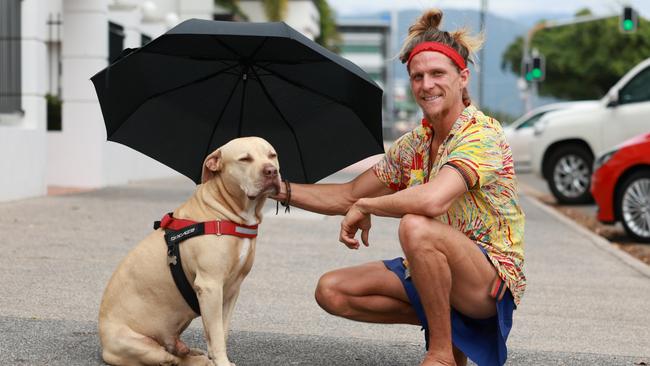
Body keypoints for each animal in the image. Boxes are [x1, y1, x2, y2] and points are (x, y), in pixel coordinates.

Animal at [97, 136, 280, 364]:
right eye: (245, 159)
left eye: (272, 155)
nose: (272, 171)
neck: (225, 212)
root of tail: (104, 344)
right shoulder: (210, 286)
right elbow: (216, 333)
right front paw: (220, 362)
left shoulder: (230, 291)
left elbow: (220, 331)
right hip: (140, 346)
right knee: (171, 359)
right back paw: (199, 360)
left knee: (176, 351)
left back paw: (189, 350)